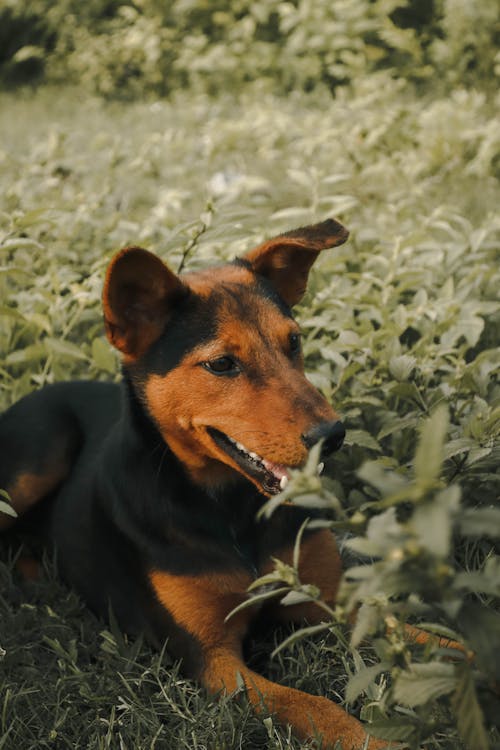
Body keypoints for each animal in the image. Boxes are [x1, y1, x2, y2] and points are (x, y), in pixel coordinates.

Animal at [0, 222, 388, 750]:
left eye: (294, 342)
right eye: (221, 364)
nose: (333, 435)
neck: (233, 510)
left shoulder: (326, 602)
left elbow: (422, 637)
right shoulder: (211, 660)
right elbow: (314, 707)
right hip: (38, 451)